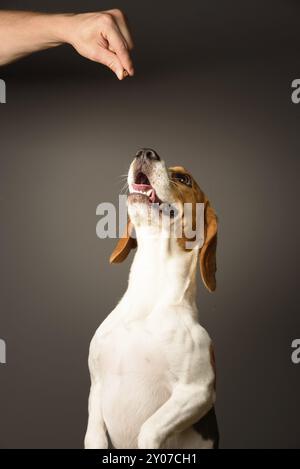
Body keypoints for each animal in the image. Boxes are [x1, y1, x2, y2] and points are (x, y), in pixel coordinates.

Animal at [85, 148, 219, 448]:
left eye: (184, 179)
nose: (146, 152)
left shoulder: (198, 392)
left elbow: (150, 428)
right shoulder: (96, 387)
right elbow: (94, 435)